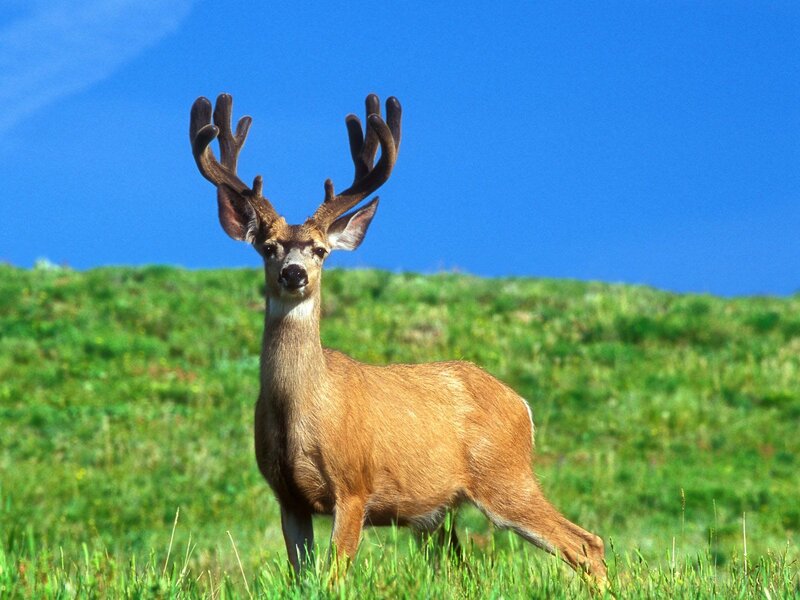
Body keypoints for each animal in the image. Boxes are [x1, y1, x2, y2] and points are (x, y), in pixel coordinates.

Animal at [189, 93, 607, 584]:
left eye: (320, 251)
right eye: (268, 247)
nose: (293, 274)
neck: (302, 408)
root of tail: (521, 404)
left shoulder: (354, 485)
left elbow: (333, 576)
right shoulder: (287, 496)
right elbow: (302, 575)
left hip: (505, 476)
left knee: (586, 543)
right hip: (438, 513)